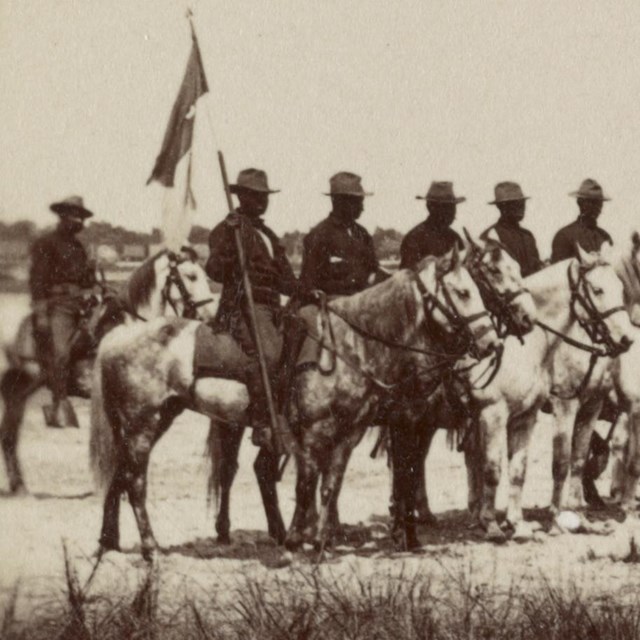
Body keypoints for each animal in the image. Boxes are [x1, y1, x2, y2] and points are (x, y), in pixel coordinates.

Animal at [90, 248, 500, 556]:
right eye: (463, 292)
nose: (492, 343)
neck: (353, 345)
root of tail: (116, 337)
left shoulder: (349, 434)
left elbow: (330, 486)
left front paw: (318, 542)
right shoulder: (321, 432)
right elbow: (308, 484)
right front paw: (295, 543)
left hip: (155, 419)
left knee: (124, 474)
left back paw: (112, 541)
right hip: (143, 423)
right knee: (136, 480)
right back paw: (150, 546)